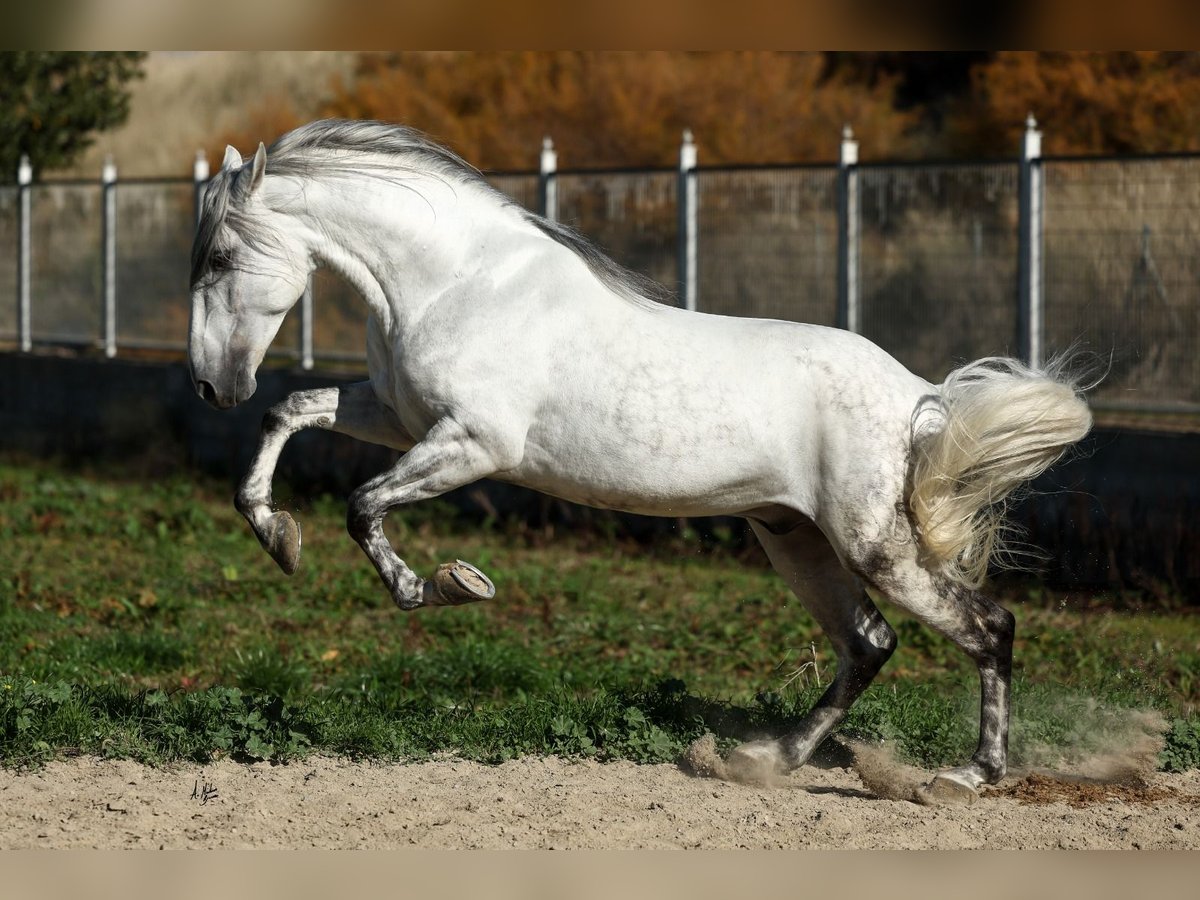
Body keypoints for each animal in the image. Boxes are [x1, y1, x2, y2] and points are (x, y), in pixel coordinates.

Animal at [189, 121, 1099, 801]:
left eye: (222, 258)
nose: (209, 385)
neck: (458, 284)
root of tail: (917, 398)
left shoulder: (472, 443)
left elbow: (362, 505)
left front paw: (443, 586)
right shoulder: (394, 414)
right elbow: (288, 413)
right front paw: (277, 536)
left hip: (875, 542)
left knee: (987, 627)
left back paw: (966, 777)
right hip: (792, 536)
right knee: (869, 643)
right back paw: (762, 761)